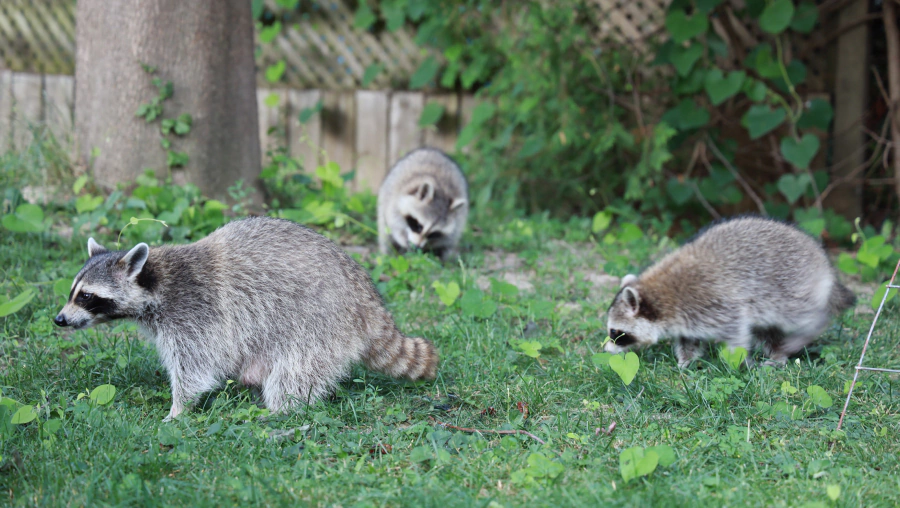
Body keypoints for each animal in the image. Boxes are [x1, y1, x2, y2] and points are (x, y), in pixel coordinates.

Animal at [52, 217, 440, 420]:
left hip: (320, 321)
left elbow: (195, 368)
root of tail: (369, 299)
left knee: (296, 370)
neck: (159, 278)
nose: (59, 319)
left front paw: (177, 409)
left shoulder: (197, 311)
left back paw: (280, 410)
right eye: (72, 291)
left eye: (87, 296)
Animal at [600, 216, 856, 368]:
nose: (605, 349)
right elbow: (689, 340)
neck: (660, 297)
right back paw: (777, 353)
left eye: (615, 332)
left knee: (801, 315)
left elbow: (737, 331)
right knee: (767, 330)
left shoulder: (713, 303)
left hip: (788, 286)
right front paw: (686, 360)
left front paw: (737, 361)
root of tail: (822, 261)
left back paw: (807, 330)